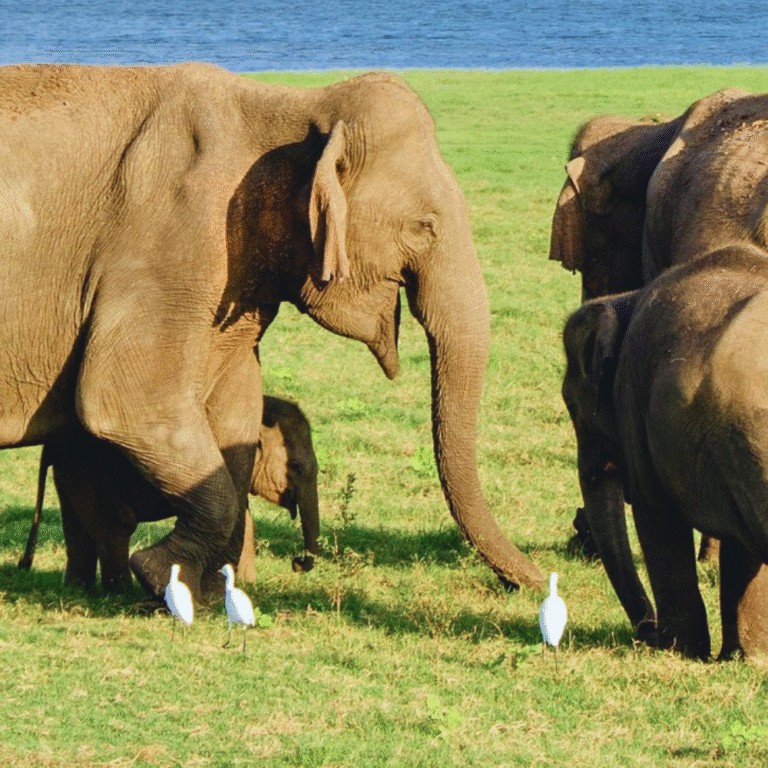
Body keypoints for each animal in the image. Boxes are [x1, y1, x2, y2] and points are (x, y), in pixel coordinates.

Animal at [18, 395, 320, 592]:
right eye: (296, 467)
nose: (296, 563)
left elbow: (243, 517)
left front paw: (246, 584)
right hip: (90, 471)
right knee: (115, 526)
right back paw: (121, 595)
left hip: (72, 473)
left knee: (78, 527)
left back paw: (79, 591)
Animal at [562, 243, 768, 659]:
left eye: (571, 406)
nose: (648, 633)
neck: (625, 299)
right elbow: (740, 548)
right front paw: (746, 658)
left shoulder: (632, 395)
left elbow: (655, 515)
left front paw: (680, 651)